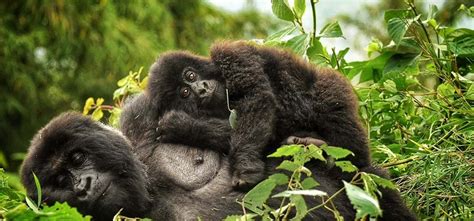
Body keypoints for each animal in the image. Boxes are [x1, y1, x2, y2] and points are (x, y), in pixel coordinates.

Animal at [148, 41, 370, 186]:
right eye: (185, 93)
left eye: (191, 75)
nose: (201, 89)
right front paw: (184, 128)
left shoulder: (232, 55)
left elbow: (257, 97)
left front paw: (245, 168)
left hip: (334, 90)